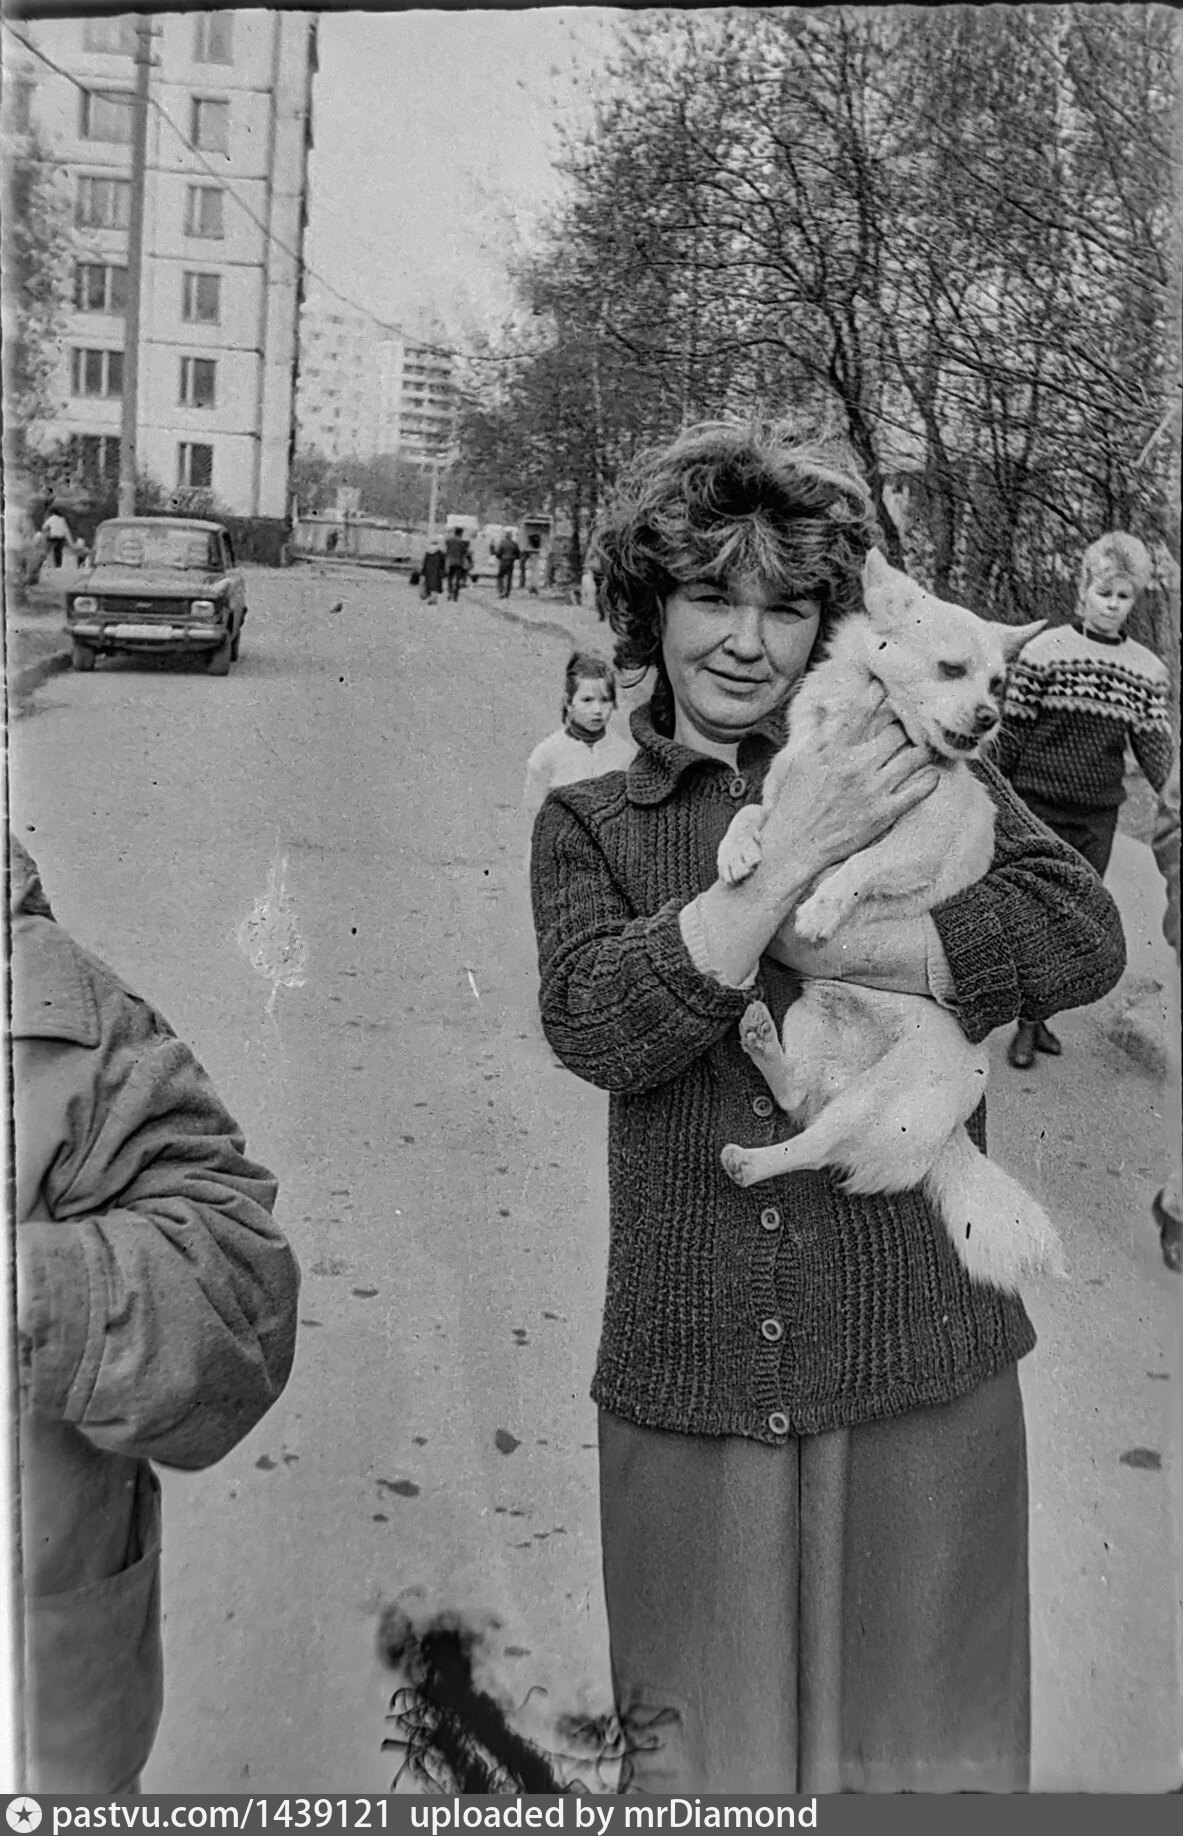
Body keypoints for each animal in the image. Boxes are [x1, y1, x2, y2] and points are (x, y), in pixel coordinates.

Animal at [716, 548, 1064, 1292]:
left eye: (999, 683)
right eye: (952, 670)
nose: (989, 718)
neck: (876, 722)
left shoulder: (924, 836)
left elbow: (862, 865)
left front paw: (820, 905)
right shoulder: (785, 796)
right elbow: (753, 812)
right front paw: (737, 853)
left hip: (874, 1104)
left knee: (814, 1144)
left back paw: (750, 1163)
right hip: (811, 1022)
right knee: (795, 1097)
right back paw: (762, 1045)